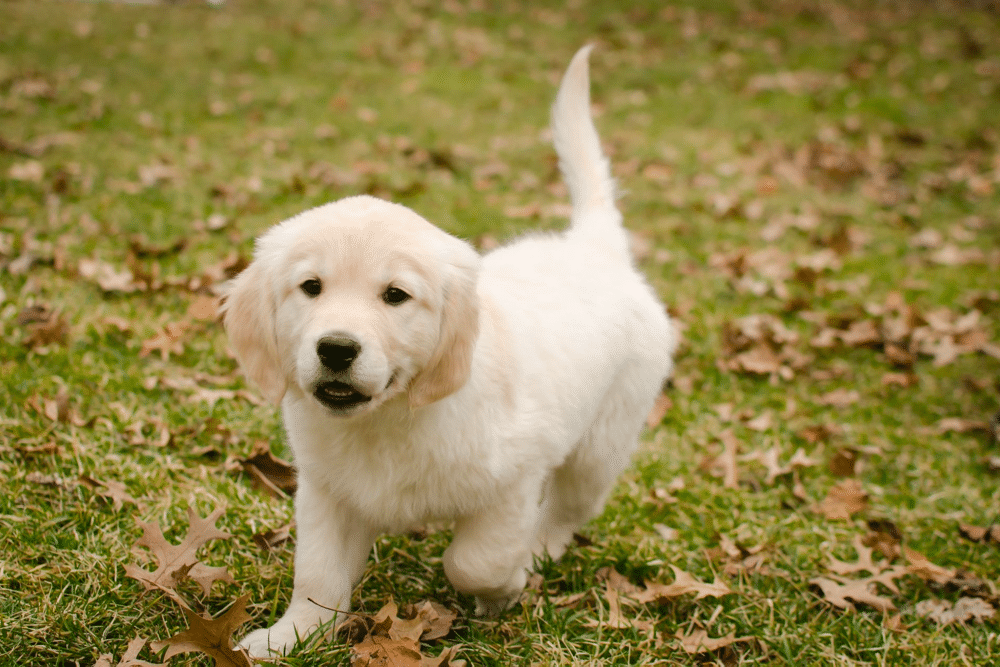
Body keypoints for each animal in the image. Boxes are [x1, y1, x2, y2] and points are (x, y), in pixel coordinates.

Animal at [225, 47, 680, 656]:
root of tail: (593, 247)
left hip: (600, 447)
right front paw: (289, 636)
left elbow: (473, 560)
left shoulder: (513, 482)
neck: (388, 420)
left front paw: (506, 585)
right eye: (311, 287)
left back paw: (539, 551)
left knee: (566, 511)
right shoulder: (326, 491)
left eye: (395, 295)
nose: (337, 349)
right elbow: (318, 575)